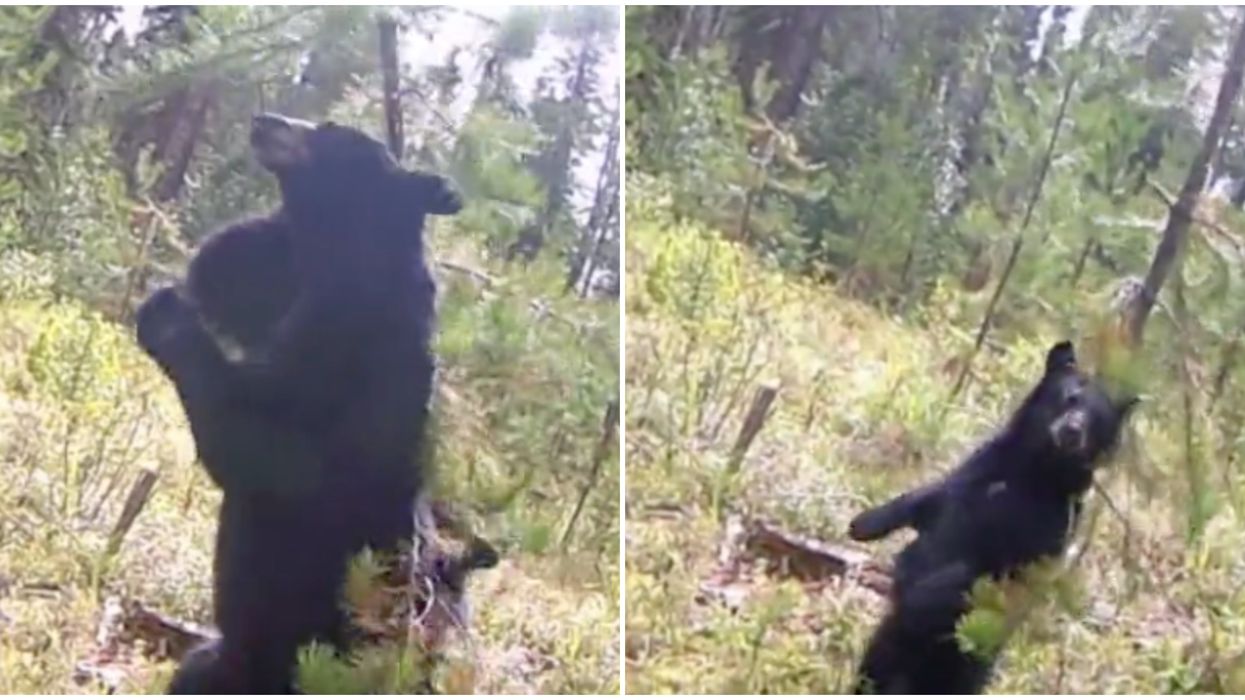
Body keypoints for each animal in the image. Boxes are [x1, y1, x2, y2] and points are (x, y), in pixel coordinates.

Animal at [134, 114, 469, 693]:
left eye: (330, 131)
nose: (264, 120)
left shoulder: (345, 357)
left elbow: (263, 440)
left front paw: (166, 314)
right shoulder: (287, 280)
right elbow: (234, 266)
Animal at [848, 341, 1138, 694]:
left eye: (1097, 420)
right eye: (1069, 397)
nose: (1073, 430)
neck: (1036, 471)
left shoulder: (1043, 529)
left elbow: (987, 569)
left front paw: (923, 584)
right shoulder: (978, 475)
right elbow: (932, 498)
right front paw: (864, 524)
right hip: (885, 649)